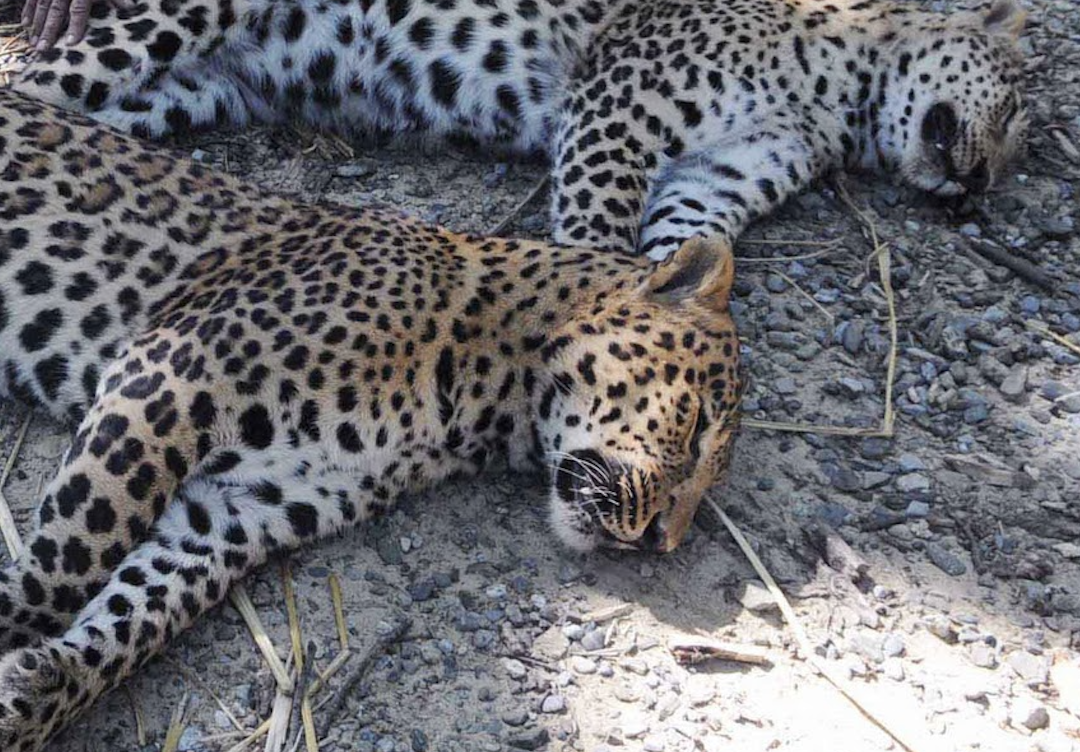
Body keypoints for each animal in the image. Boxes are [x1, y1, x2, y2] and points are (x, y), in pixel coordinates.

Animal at [0, 88, 742, 751]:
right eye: (697, 422)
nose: (659, 541)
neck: (483, 397)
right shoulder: (173, 374)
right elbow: (73, 553)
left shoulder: (232, 511)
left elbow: (136, 613)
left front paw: (36, 694)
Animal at [10, 0, 1030, 260]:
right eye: (1020, 113)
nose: (981, 187)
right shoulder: (620, 103)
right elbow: (596, 229)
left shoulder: (718, 178)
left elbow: (683, 247)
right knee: (29, 81)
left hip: (188, 93)